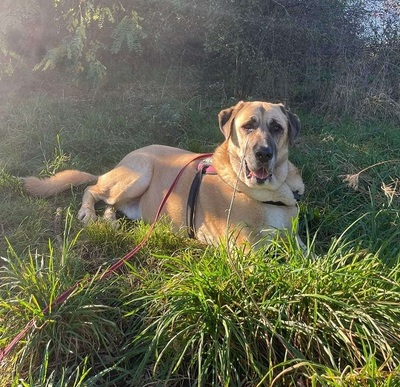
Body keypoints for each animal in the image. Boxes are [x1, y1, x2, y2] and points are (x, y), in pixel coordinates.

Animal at [25, 101, 304, 249]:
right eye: (248, 126)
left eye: (277, 128)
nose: (264, 153)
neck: (269, 192)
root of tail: (124, 159)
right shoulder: (246, 249)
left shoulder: (295, 240)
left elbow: (308, 258)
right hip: (138, 176)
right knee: (92, 189)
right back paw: (88, 213)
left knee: (111, 203)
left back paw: (111, 220)